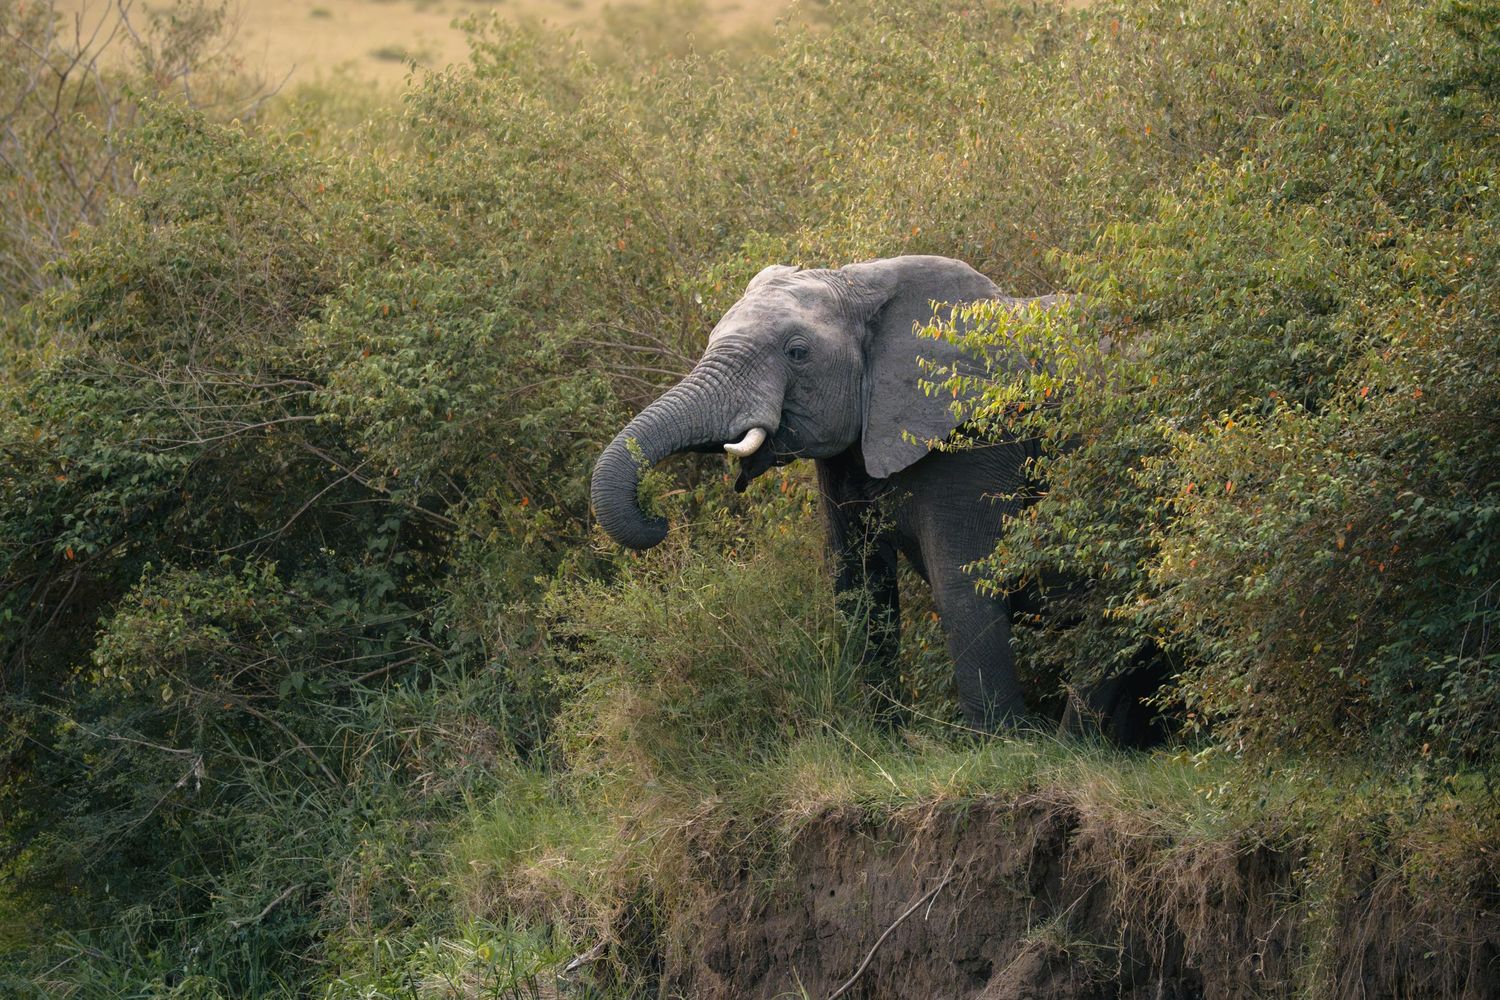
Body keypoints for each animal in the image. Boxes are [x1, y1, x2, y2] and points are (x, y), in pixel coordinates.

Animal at [591, 254, 1145, 734]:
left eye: (797, 353)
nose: (659, 519)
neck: (862, 281)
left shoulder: (978, 436)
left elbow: (963, 583)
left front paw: (1001, 745)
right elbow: (858, 586)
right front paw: (883, 740)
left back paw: (1071, 744)